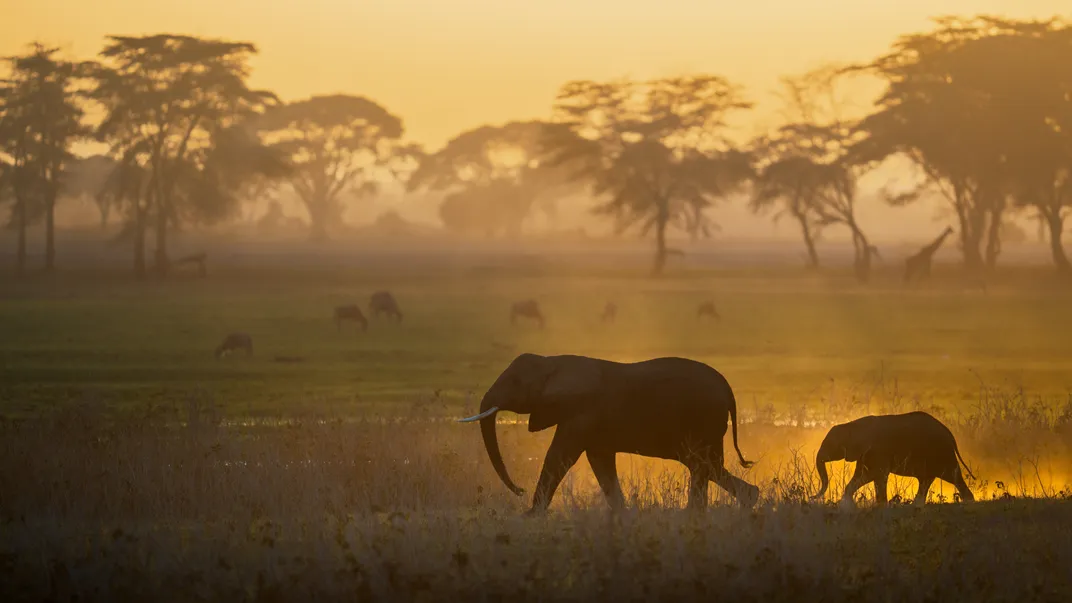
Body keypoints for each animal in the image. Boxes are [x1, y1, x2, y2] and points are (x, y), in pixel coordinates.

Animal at [456, 351, 758, 510]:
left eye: (516, 382)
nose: (519, 490)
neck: (552, 362)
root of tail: (728, 390)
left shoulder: (580, 411)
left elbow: (559, 457)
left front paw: (531, 517)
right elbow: (599, 462)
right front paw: (623, 517)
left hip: (704, 420)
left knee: (703, 466)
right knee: (706, 466)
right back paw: (744, 501)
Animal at [814, 409, 977, 504]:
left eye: (829, 445)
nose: (811, 498)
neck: (852, 425)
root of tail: (950, 434)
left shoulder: (878, 450)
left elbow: (875, 474)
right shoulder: (866, 453)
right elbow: (863, 475)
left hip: (942, 453)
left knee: (953, 476)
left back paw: (969, 502)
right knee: (926, 480)